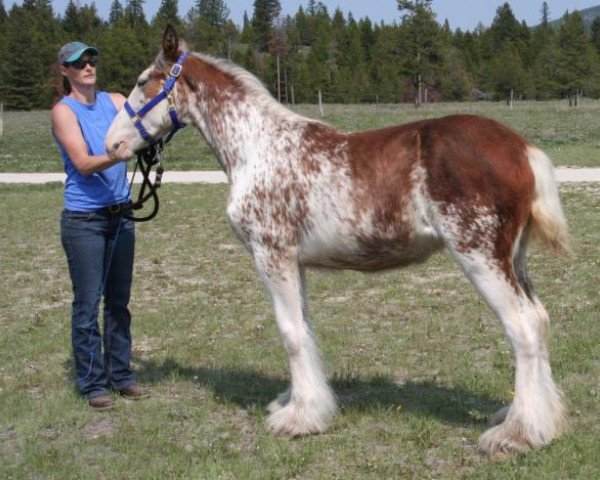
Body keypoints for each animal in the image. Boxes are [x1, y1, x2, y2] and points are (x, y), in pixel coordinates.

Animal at [105, 27, 568, 458]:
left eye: (144, 81)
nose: (112, 144)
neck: (257, 148)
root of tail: (520, 147)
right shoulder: (295, 263)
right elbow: (305, 329)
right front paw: (300, 405)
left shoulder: (272, 256)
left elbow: (290, 333)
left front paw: (298, 419)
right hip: (513, 259)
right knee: (541, 318)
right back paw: (538, 418)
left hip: (481, 257)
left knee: (523, 327)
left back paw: (517, 433)